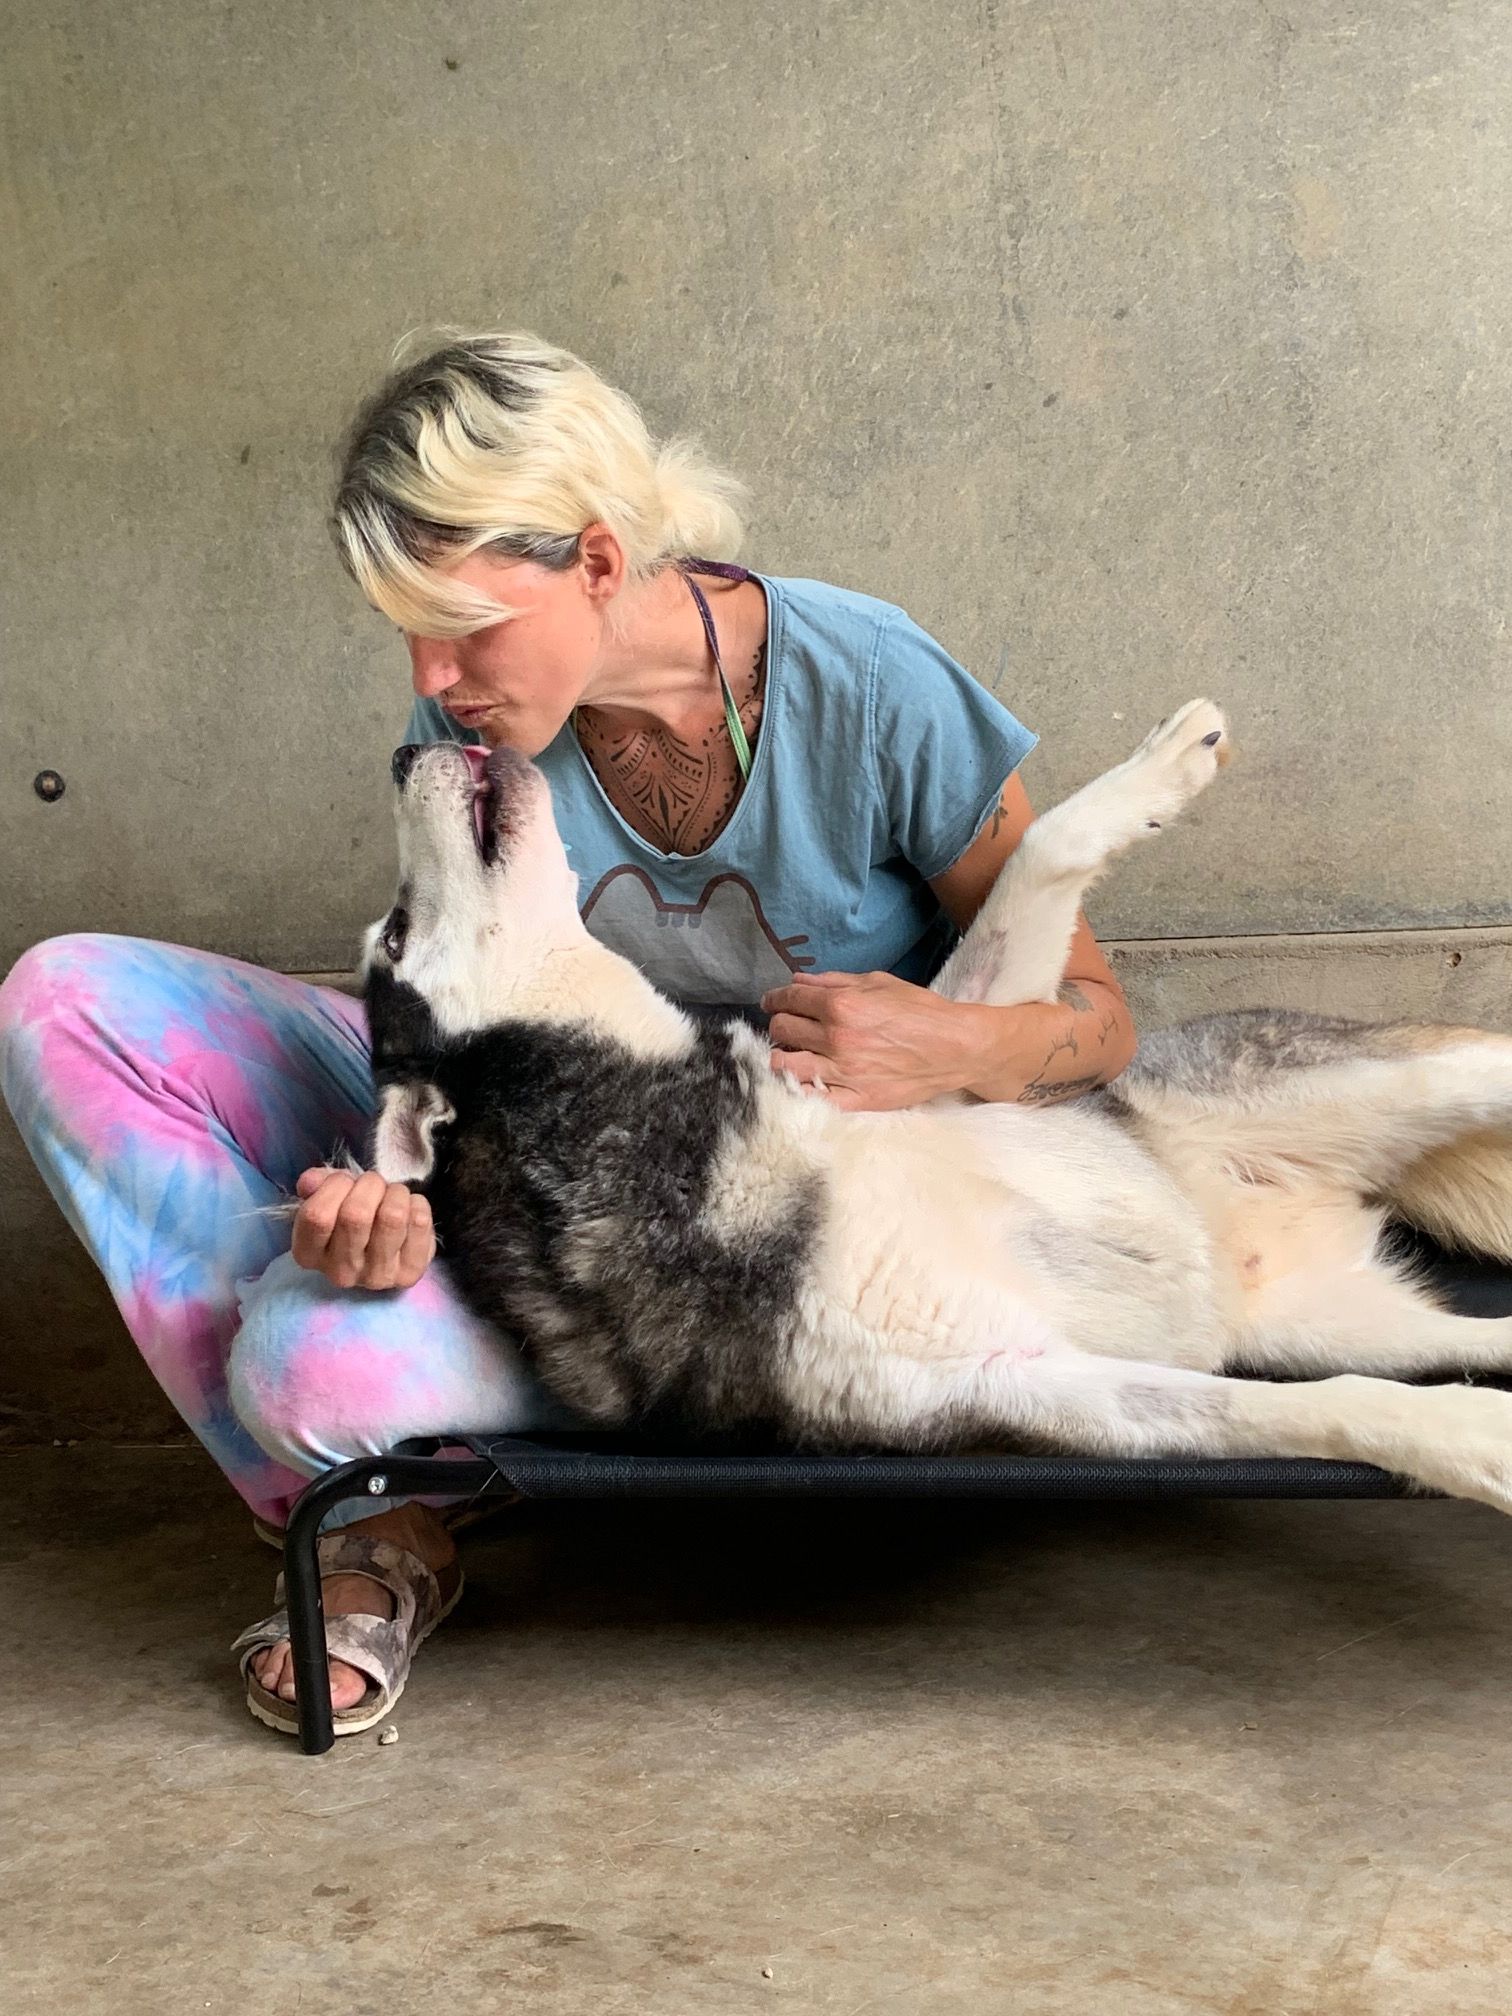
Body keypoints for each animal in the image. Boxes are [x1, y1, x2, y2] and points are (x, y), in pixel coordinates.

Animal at [361, 701, 1512, 1514]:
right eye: (395, 932)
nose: (401, 754)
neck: (690, 1119)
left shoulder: (946, 1055)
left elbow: (1038, 857)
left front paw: (1161, 768)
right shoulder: (1034, 1390)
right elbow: (1331, 1410)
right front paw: (1476, 1442)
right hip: (1324, 1320)